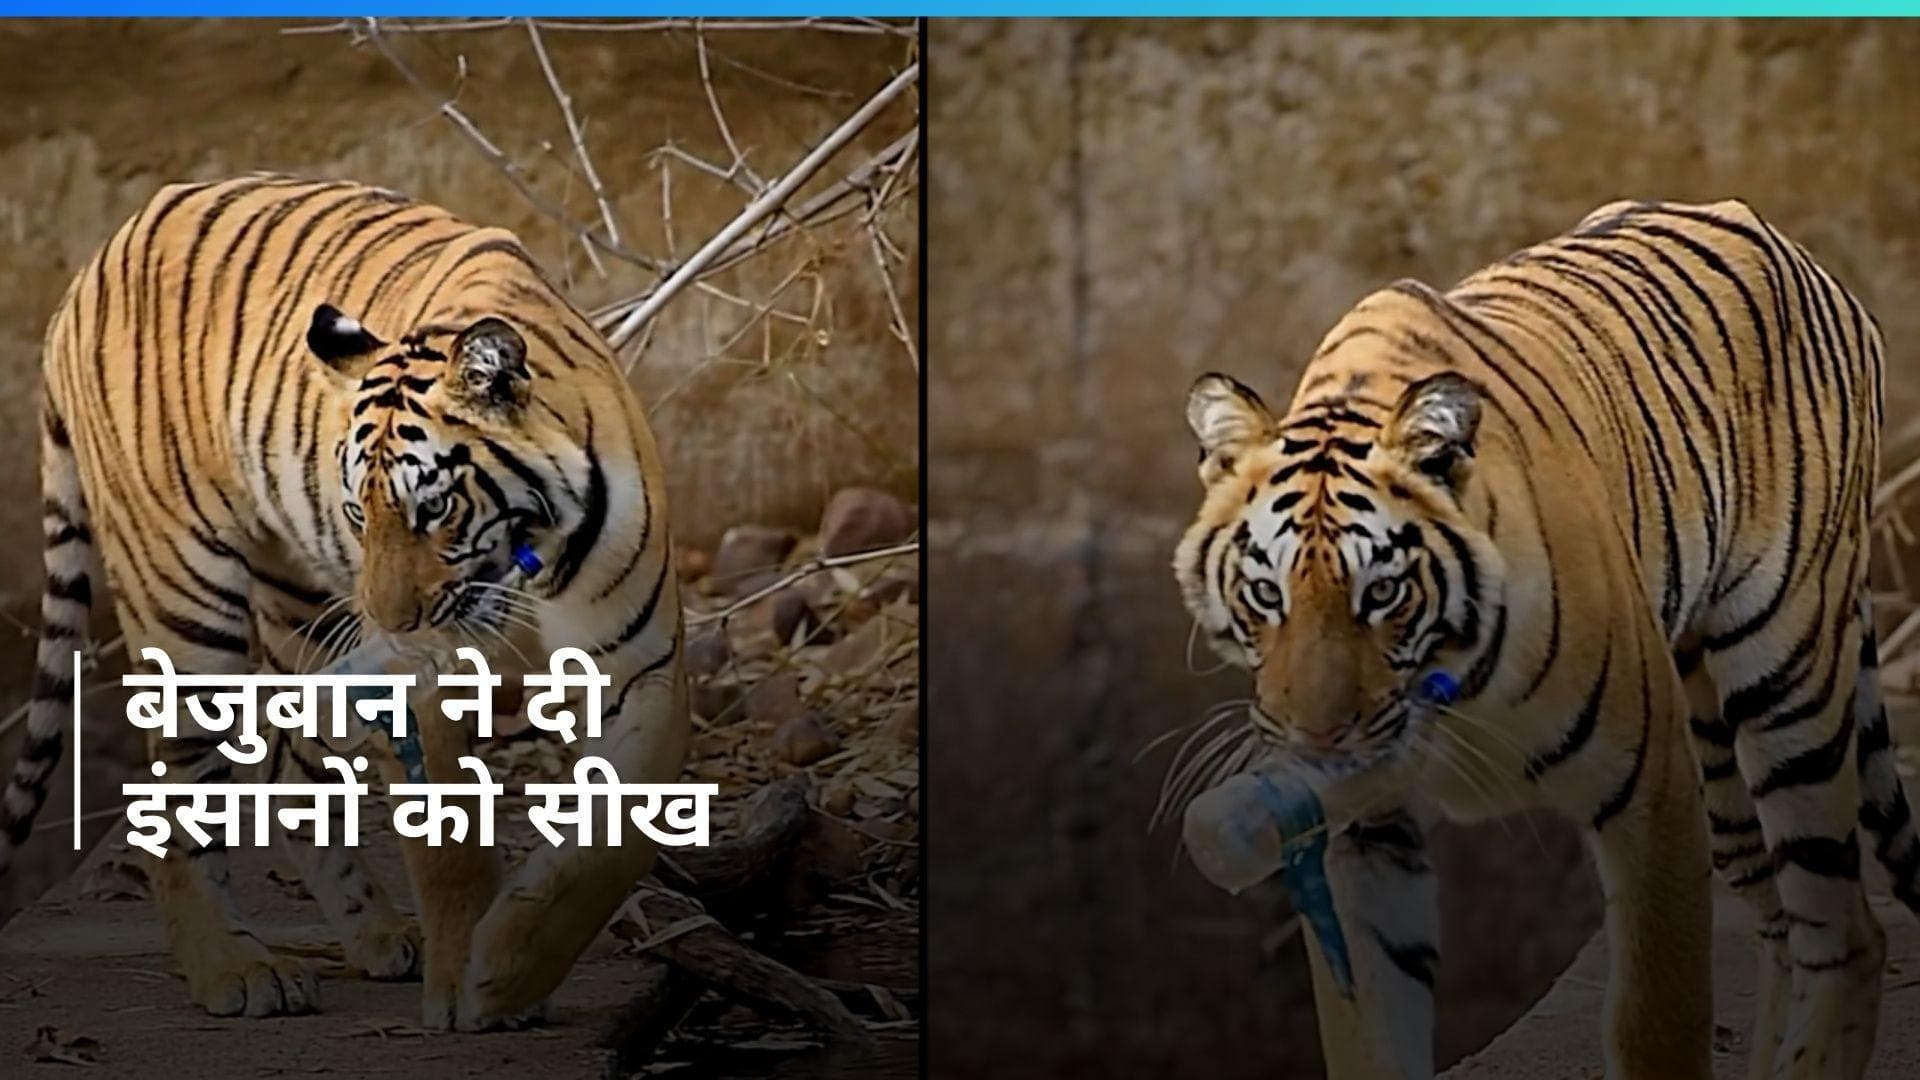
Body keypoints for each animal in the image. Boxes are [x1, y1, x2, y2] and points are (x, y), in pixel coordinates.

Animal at [0, 173, 688, 1030]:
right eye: (360, 511)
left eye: (435, 508)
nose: (393, 622)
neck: (535, 551)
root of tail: (90, 267)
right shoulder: (433, 684)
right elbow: (453, 849)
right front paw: (466, 987)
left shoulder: (643, 666)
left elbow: (616, 839)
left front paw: (509, 972)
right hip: (183, 593)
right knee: (178, 784)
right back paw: (236, 968)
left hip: (301, 610)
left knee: (287, 764)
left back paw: (379, 934)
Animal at [1172, 199, 1920, 1079]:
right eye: (1267, 593)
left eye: (1382, 592)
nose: (1320, 740)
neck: (1451, 694)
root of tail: (1798, 251)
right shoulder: (1363, 830)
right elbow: (1372, 1035)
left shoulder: (1651, 791)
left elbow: (1656, 1021)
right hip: (1715, 743)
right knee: (1780, 931)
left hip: (1786, 681)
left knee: (1846, 934)